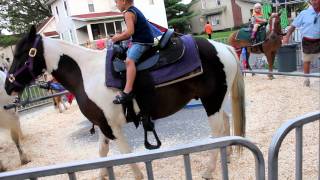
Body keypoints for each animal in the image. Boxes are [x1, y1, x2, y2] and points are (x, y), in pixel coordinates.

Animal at [4, 26, 245, 179]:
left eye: (21, 54)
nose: (7, 86)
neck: (85, 72)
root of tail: (222, 48)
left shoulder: (113, 128)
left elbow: (126, 156)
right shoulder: (102, 125)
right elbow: (102, 153)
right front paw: (101, 175)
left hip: (211, 102)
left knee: (218, 132)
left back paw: (209, 171)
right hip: (215, 102)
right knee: (226, 125)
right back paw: (227, 158)